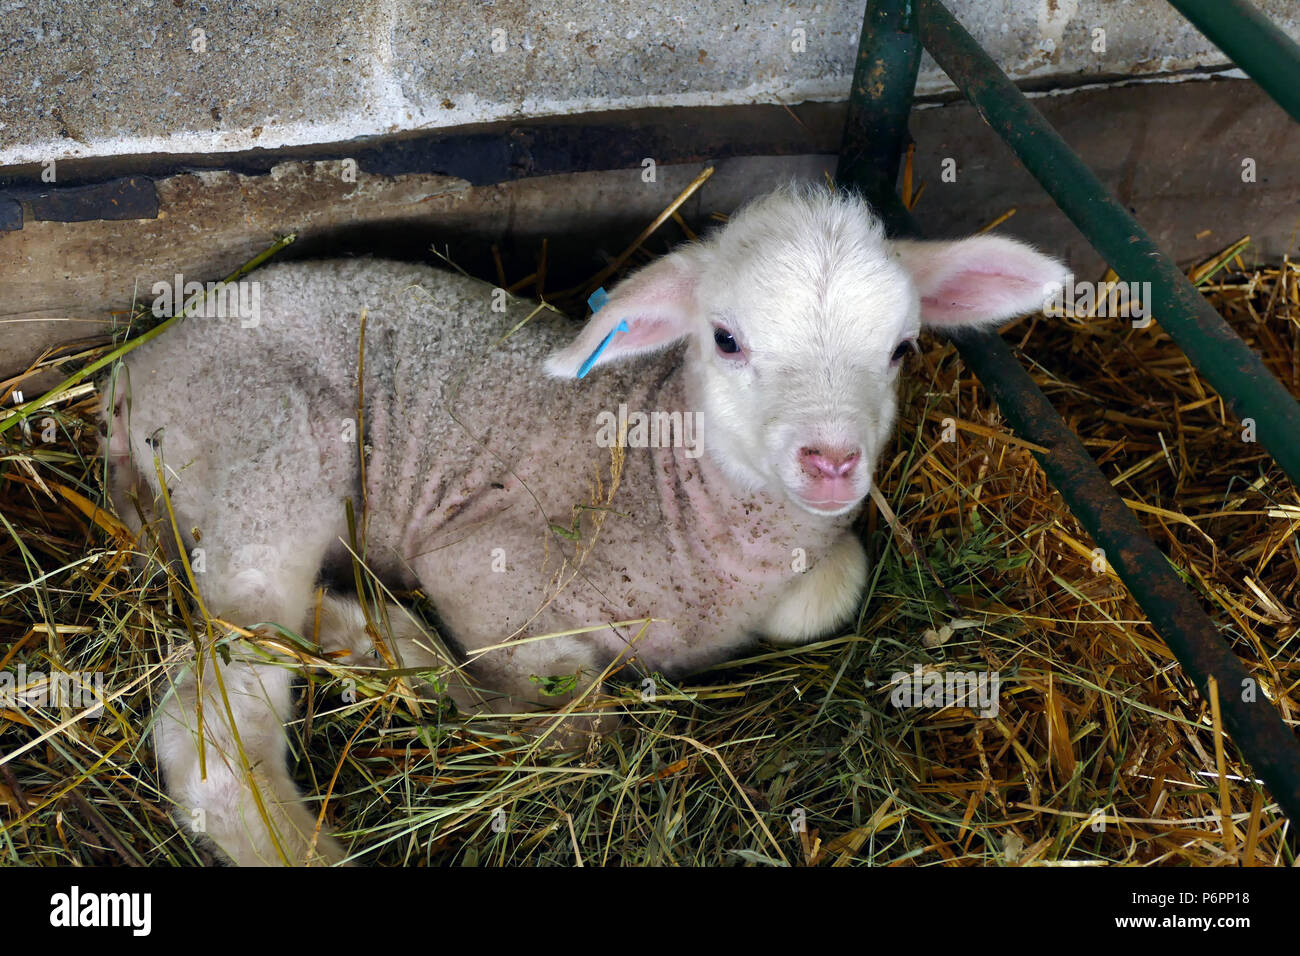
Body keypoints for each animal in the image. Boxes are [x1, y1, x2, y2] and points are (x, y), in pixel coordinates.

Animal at [101, 183, 1066, 863]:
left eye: (902, 348)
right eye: (726, 339)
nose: (831, 462)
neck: (671, 486)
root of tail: (128, 371)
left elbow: (830, 589)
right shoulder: (484, 566)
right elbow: (577, 724)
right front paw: (468, 691)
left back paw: (371, 638)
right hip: (274, 443)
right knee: (213, 715)